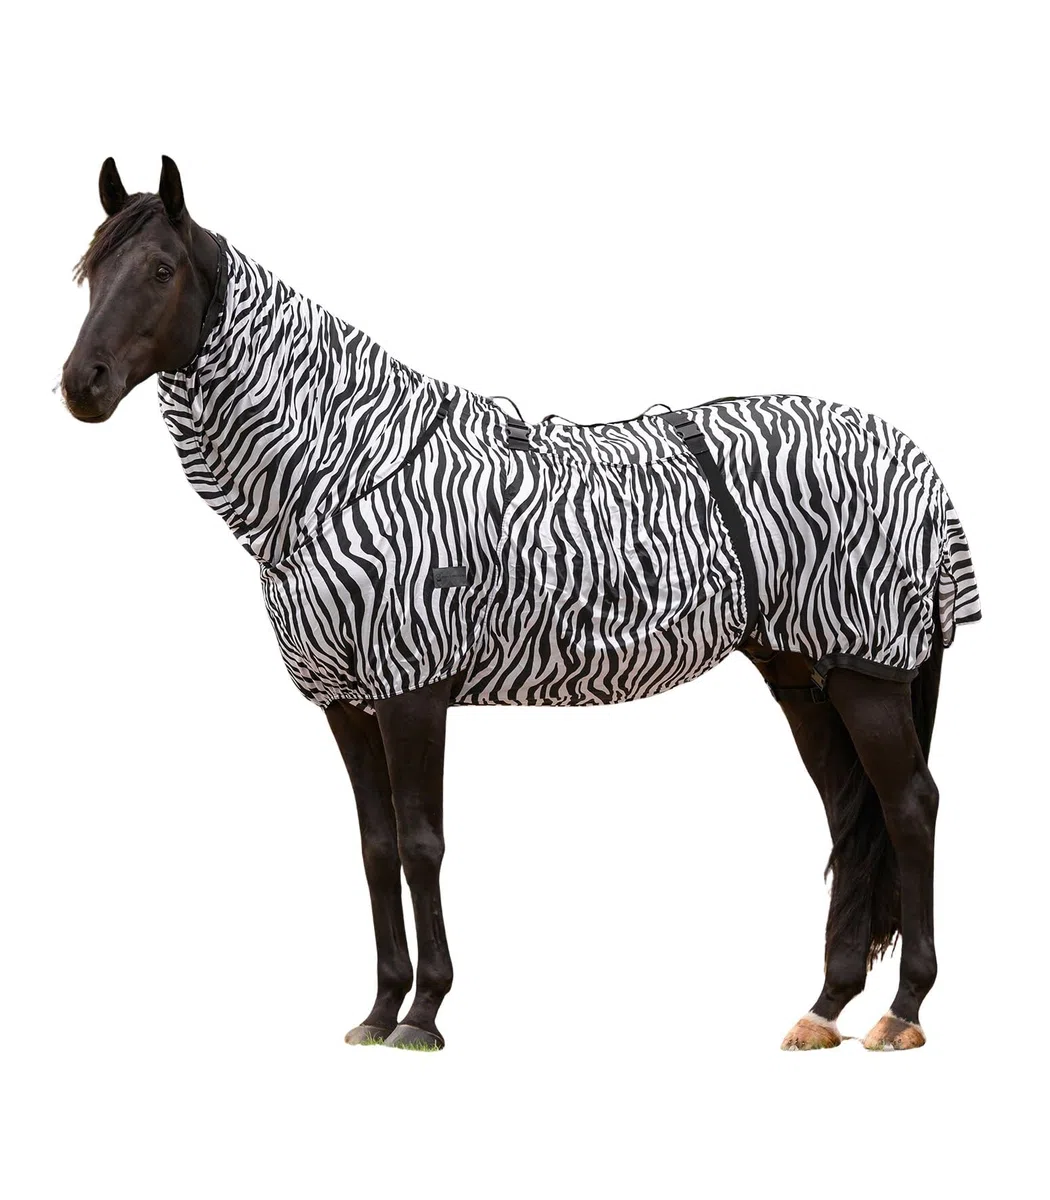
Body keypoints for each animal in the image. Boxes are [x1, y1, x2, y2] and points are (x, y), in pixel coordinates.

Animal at [62, 156, 980, 1052]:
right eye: (89, 270)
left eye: (160, 269)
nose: (81, 384)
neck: (344, 469)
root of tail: (916, 461)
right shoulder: (346, 702)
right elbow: (376, 847)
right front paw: (379, 1009)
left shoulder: (413, 689)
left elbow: (422, 844)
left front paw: (424, 1014)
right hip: (804, 676)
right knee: (851, 817)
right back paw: (825, 1009)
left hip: (866, 673)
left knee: (909, 808)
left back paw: (903, 1010)